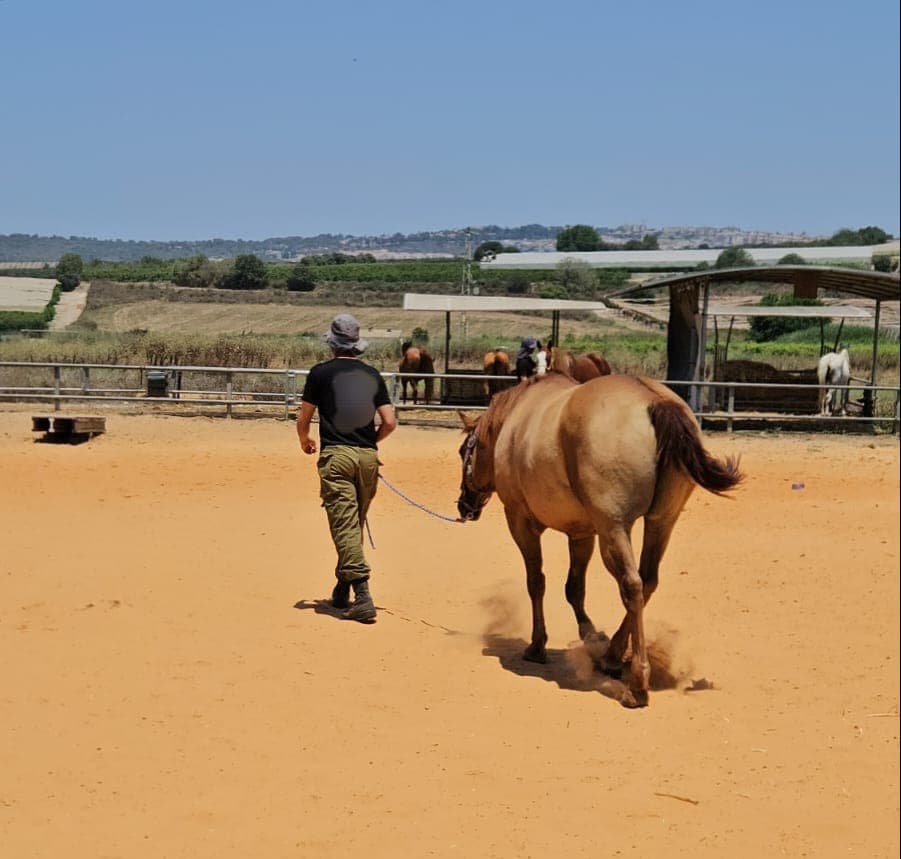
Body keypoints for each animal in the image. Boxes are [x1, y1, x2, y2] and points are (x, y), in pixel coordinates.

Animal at [456, 373, 743, 708]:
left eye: (463, 452)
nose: (464, 505)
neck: (513, 422)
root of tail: (655, 401)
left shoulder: (520, 520)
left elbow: (536, 582)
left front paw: (538, 646)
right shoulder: (582, 532)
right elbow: (574, 588)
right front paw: (591, 636)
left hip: (614, 529)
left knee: (631, 586)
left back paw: (637, 680)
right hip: (660, 523)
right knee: (647, 581)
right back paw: (612, 656)